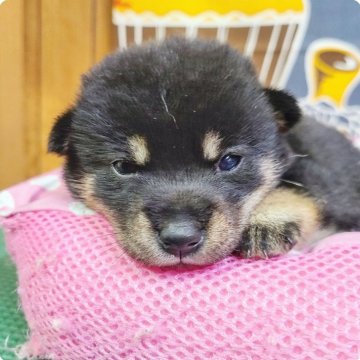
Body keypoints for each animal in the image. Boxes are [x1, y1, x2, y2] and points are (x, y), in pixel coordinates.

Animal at [48, 38, 360, 266]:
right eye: (123, 167)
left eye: (230, 161)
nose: (180, 239)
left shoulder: (319, 174)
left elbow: (301, 188)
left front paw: (266, 222)